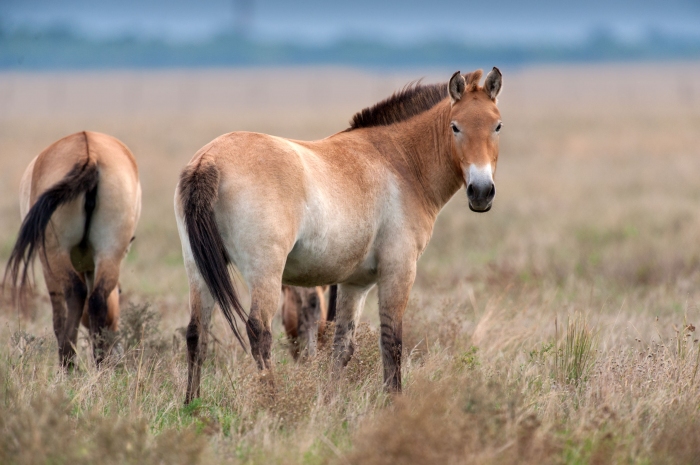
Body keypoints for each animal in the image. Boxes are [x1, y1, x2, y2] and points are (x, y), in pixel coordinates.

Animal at [3, 130, 142, 366]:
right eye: (121, 291)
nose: (117, 348)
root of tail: (89, 153)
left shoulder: (48, 266)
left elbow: (59, 317)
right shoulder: (92, 265)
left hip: (55, 254)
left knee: (76, 293)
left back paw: (68, 362)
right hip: (109, 254)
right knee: (96, 299)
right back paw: (99, 363)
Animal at [175, 69, 504, 402]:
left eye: (497, 125)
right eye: (455, 126)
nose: (481, 192)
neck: (400, 162)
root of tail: (209, 160)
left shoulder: (354, 283)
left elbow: (342, 347)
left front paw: (330, 402)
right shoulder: (398, 271)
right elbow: (392, 342)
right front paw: (394, 402)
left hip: (198, 270)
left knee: (197, 333)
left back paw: (192, 405)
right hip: (265, 272)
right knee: (258, 332)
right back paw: (272, 401)